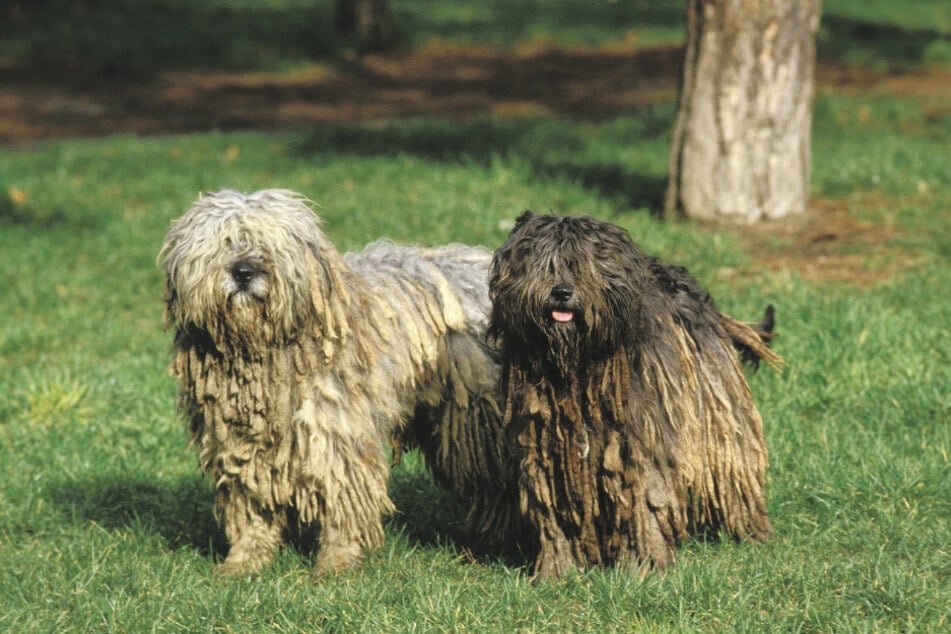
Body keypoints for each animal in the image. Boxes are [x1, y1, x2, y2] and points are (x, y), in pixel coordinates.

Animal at [161, 189, 506, 576]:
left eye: (269, 244)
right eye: (224, 243)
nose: (244, 272)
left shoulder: (335, 430)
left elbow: (343, 492)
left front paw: (337, 562)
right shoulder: (237, 442)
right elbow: (250, 501)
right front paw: (245, 559)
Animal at [488, 212, 784, 576]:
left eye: (583, 266)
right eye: (544, 265)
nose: (562, 292)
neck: (577, 367)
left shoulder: (639, 441)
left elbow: (645, 501)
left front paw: (644, 566)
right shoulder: (547, 449)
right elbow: (552, 509)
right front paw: (558, 569)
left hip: (719, 406)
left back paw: (752, 531)